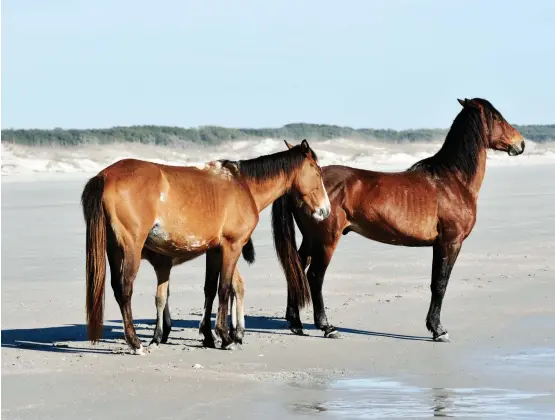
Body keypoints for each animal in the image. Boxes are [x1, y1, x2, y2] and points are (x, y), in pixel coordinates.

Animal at [235, 97, 524, 342]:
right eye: (496, 117)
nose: (520, 144)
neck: (451, 180)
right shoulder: (449, 243)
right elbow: (440, 285)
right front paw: (438, 330)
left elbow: (436, 283)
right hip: (326, 240)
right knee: (314, 276)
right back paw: (327, 327)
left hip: (311, 238)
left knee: (296, 269)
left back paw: (295, 324)